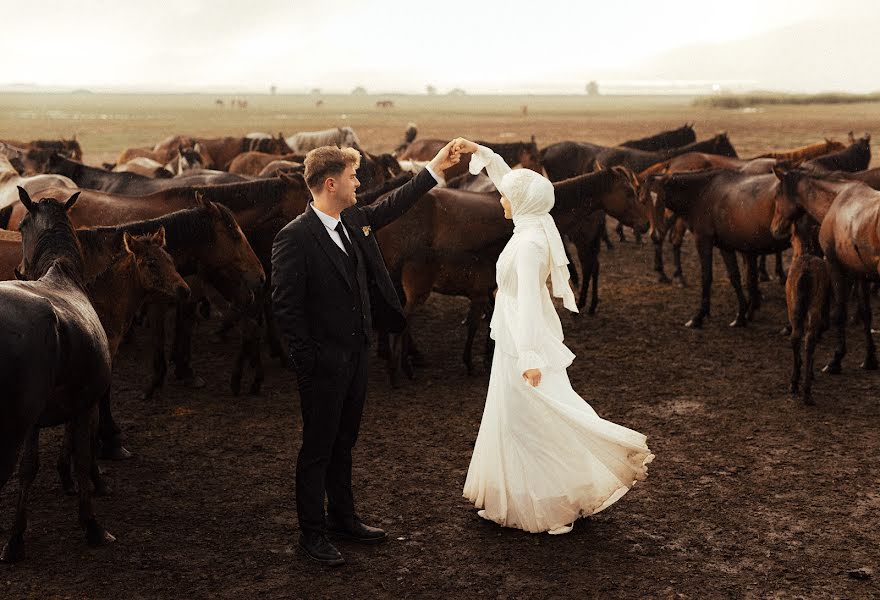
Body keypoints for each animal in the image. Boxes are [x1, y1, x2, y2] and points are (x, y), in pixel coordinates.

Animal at [0, 189, 115, 564]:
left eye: (21, 225)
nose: (21, 268)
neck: (61, 274)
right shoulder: (86, 406)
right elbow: (81, 457)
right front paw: (92, 525)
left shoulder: (35, 423)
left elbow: (29, 469)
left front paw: (15, 538)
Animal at [768, 168, 880, 376]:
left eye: (778, 195)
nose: (774, 229)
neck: (837, 200)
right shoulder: (860, 274)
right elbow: (865, 313)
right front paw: (869, 359)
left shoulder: (836, 267)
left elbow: (840, 313)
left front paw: (836, 360)